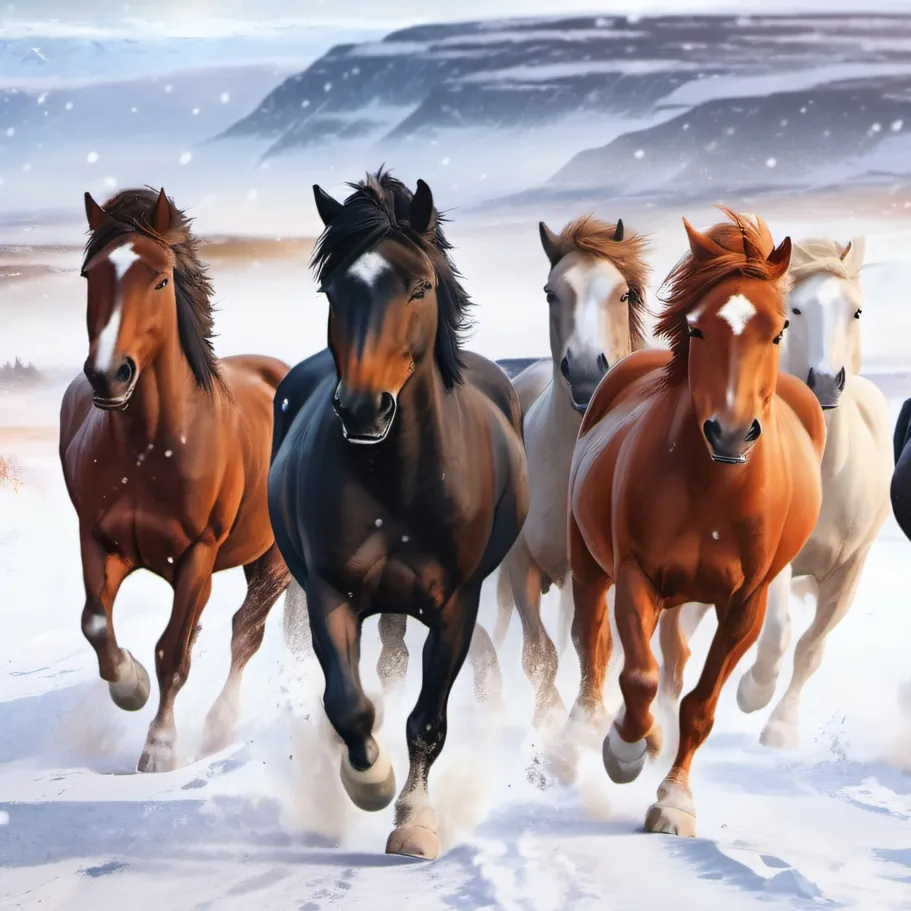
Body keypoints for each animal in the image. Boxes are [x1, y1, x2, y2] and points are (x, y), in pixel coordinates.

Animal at [59, 187, 293, 773]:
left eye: (160, 279)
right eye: (89, 274)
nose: (109, 375)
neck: (150, 448)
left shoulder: (197, 556)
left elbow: (173, 651)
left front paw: (160, 746)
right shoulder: (97, 540)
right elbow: (96, 623)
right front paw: (130, 685)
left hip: (271, 562)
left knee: (245, 633)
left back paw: (218, 727)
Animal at [267, 169, 529, 859]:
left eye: (419, 287)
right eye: (333, 289)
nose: (363, 408)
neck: (397, 481)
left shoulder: (456, 604)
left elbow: (427, 722)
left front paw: (413, 820)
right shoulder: (331, 592)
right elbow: (347, 703)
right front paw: (370, 781)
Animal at [492, 215, 651, 731]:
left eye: (623, 294)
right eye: (551, 293)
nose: (583, 374)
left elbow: (600, 643)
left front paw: (591, 716)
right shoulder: (521, 566)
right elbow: (539, 653)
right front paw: (551, 721)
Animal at [565, 208, 825, 836]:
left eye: (778, 330)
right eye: (699, 328)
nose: (729, 433)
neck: (713, 491)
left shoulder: (745, 605)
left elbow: (701, 705)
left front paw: (674, 801)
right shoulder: (635, 575)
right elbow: (638, 675)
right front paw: (624, 752)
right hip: (589, 563)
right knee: (592, 643)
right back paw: (586, 734)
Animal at [658, 235, 892, 749]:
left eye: (856, 311)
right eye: (795, 312)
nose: (824, 381)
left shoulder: (849, 569)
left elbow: (811, 648)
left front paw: (781, 729)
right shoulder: (772, 561)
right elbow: (780, 631)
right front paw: (753, 691)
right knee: (674, 646)